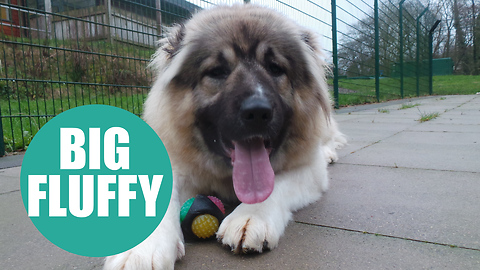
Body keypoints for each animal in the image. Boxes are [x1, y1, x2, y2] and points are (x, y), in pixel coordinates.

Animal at [104, 4, 344, 270]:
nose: (257, 112)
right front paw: (142, 250)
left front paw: (250, 216)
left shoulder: (310, 170)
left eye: (275, 68)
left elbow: (278, 183)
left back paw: (329, 153)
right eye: (217, 71)